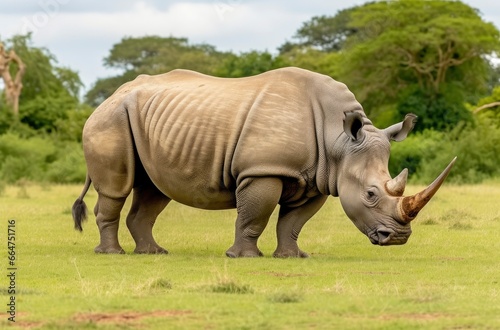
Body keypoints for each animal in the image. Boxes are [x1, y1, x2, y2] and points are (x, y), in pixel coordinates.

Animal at [71, 67, 458, 256]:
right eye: (370, 195)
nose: (398, 238)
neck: (337, 139)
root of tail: (110, 96)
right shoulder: (263, 170)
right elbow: (254, 215)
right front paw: (243, 257)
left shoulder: (319, 179)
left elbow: (293, 222)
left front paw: (292, 257)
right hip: (110, 121)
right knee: (116, 188)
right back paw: (112, 254)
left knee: (154, 190)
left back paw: (153, 253)